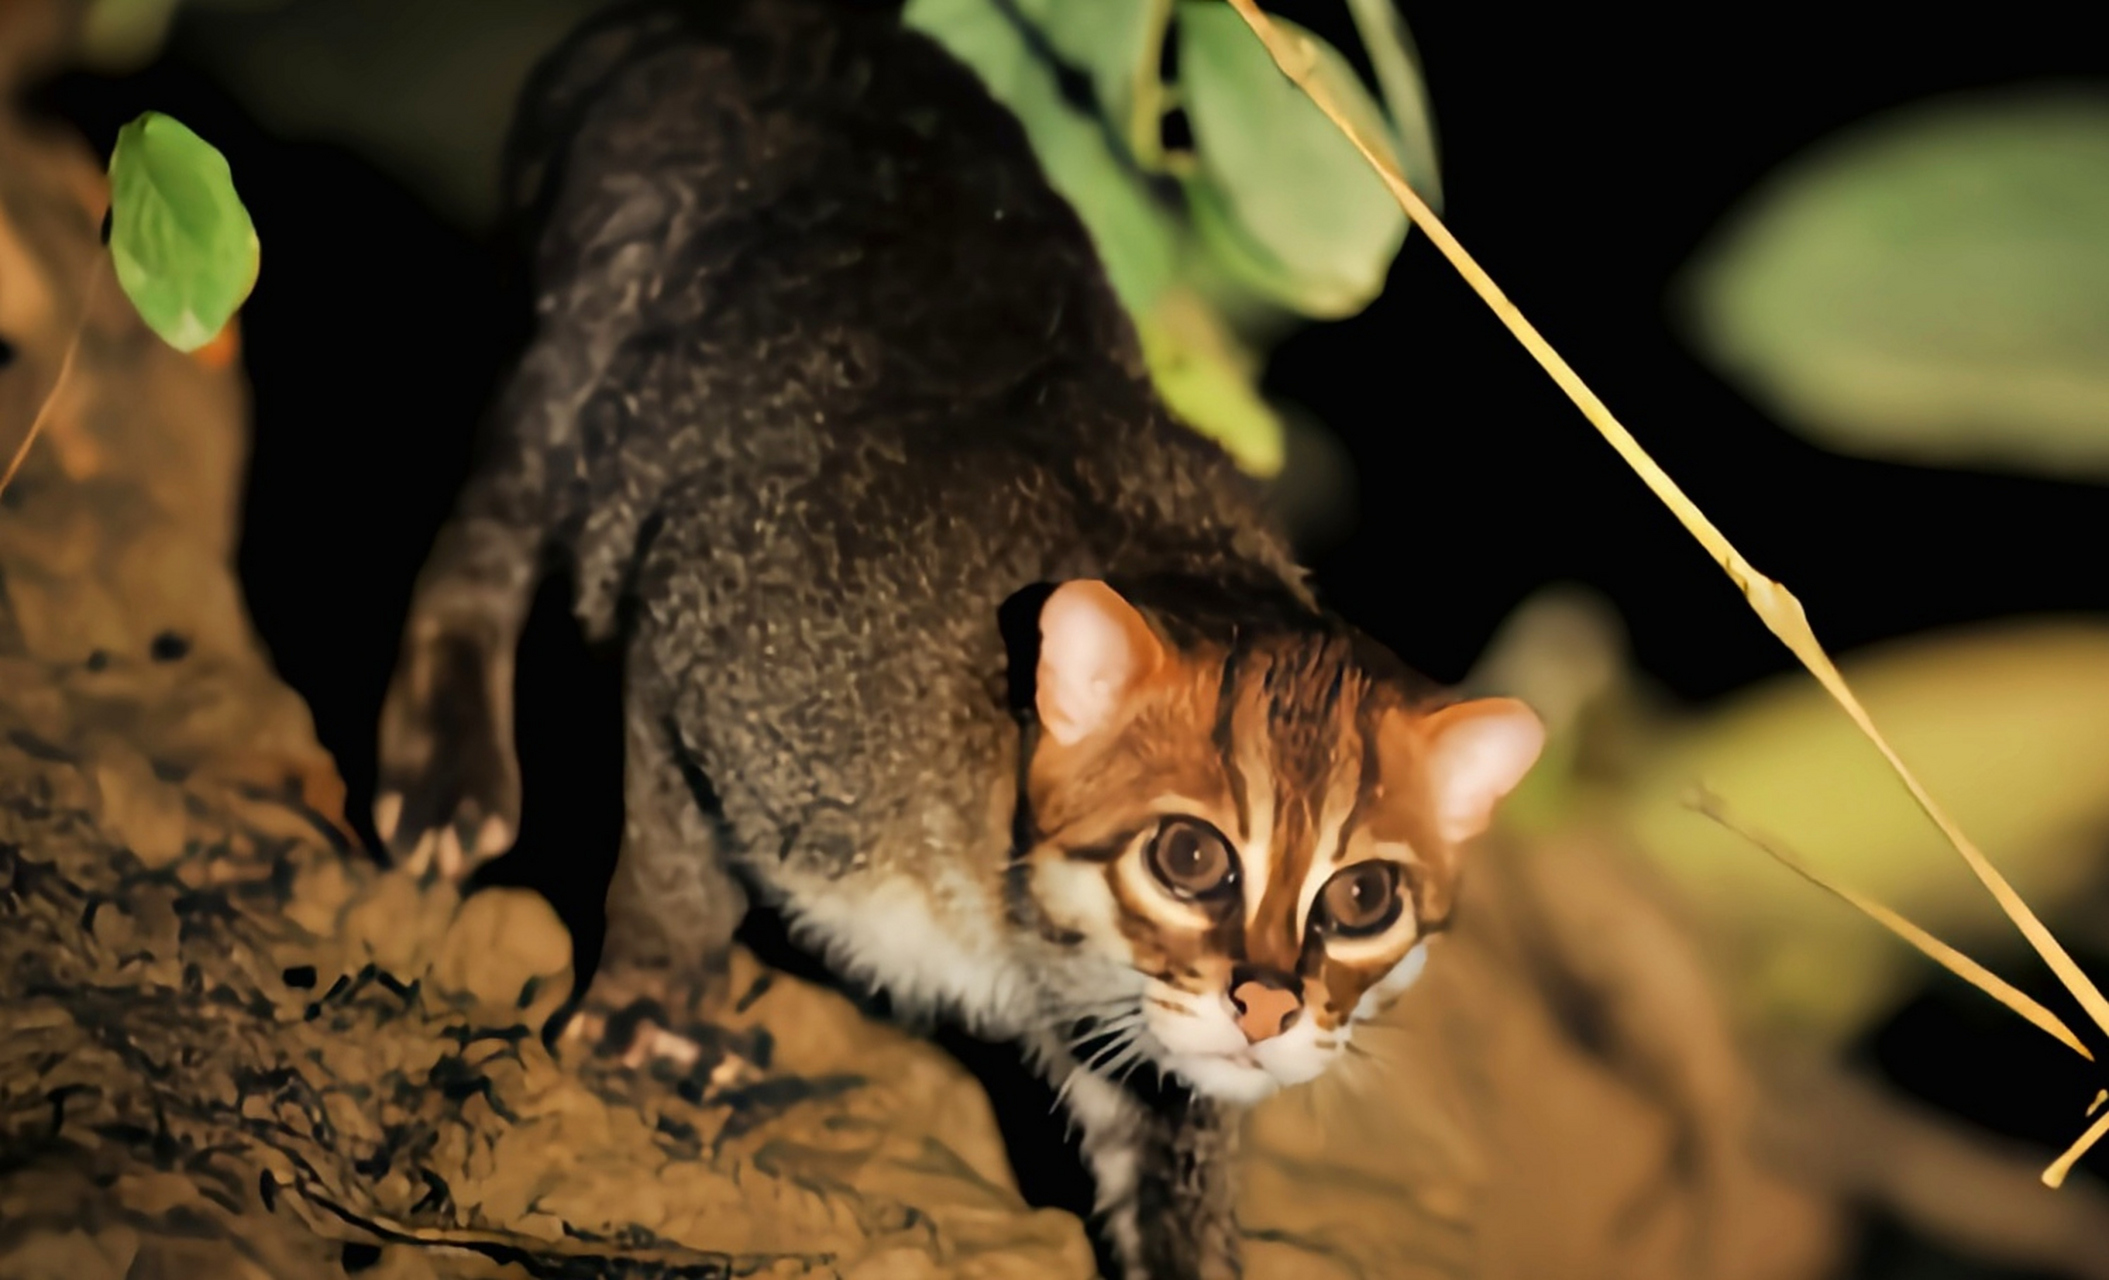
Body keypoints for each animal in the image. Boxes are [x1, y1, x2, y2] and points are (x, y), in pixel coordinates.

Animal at [371, 5, 1543, 1273]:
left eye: (1364, 897)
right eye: (1190, 856)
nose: (1274, 1008)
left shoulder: (1153, 1033)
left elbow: (1177, 1140)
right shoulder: (715, 630)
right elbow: (678, 853)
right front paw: (657, 1003)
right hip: (592, 318)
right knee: (494, 513)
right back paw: (446, 766)